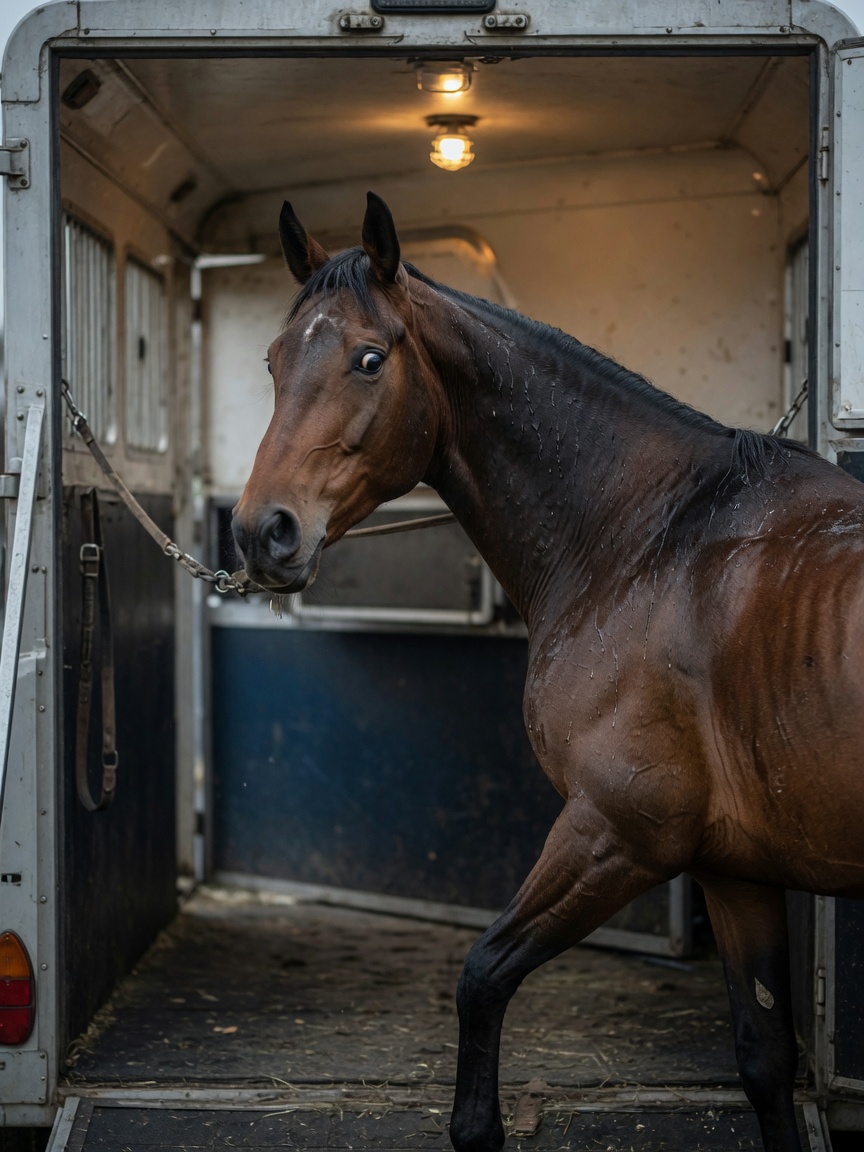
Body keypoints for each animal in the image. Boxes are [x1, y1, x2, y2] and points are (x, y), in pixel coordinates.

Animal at [231, 192, 864, 1152]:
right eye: (272, 360)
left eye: (369, 359)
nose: (261, 532)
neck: (650, 541)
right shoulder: (734, 869)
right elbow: (763, 1063)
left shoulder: (619, 832)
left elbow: (482, 975)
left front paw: (478, 1128)